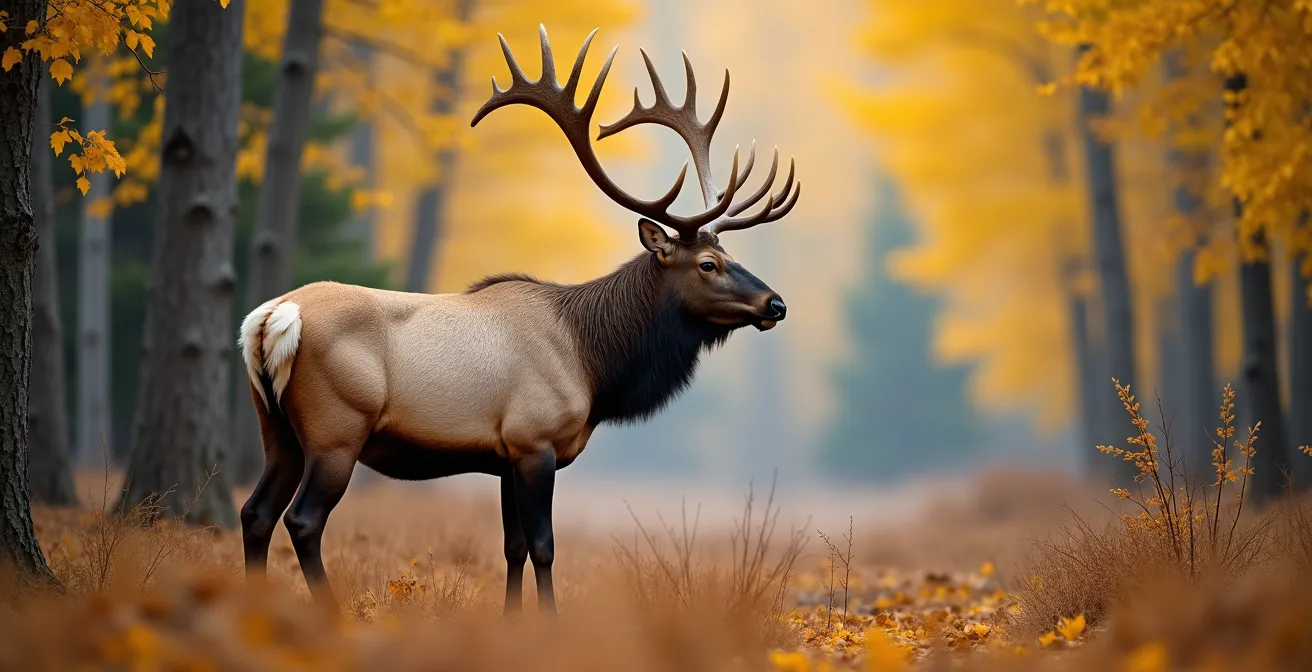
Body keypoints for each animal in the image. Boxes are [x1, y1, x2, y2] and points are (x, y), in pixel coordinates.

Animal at [237, 26, 801, 614]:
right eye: (708, 263)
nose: (776, 304)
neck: (594, 367)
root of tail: (273, 317)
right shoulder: (535, 440)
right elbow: (544, 546)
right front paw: (547, 621)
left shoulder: (505, 453)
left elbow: (513, 547)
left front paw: (511, 619)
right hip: (337, 430)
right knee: (303, 519)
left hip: (276, 427)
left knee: (255, 512)